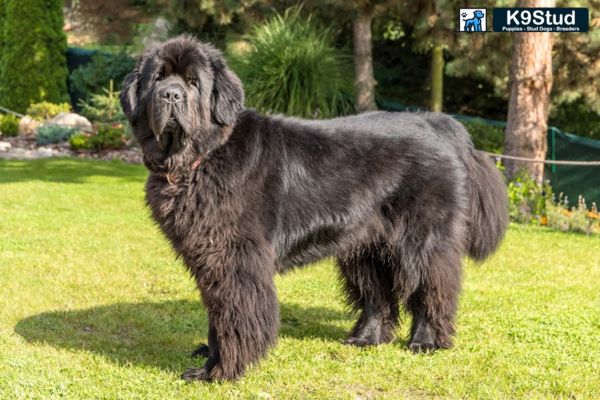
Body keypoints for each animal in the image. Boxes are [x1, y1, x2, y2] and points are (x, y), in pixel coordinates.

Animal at [119, 36, 508, 382]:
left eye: (192, 82)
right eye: (157, 79)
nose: (171, 94)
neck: (203, 157)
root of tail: (437, 123)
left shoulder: (234, 260)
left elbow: (233, 315)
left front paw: (219, 372)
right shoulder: (209, 259)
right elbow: (218, 313)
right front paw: (211, 360)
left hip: (424, 239)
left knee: (431, 286)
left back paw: (426, 341)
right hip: (366, 244)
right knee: (376, 294)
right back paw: (365, 338)